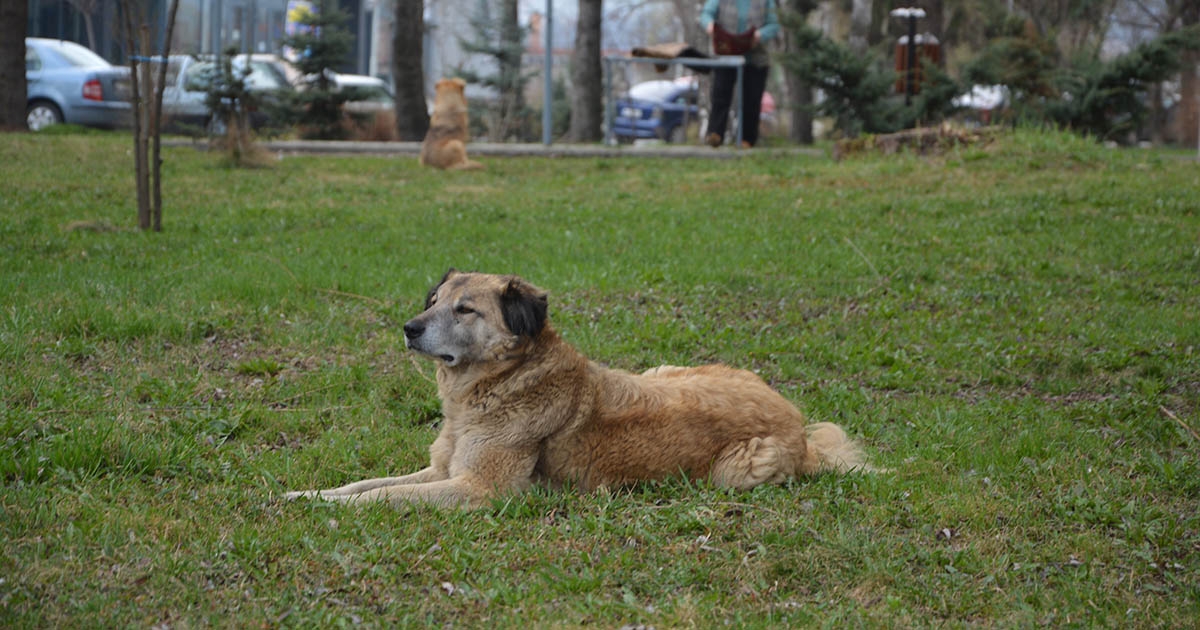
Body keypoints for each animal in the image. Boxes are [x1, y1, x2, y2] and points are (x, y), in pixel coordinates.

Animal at [285, 268, 878, 506]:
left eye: (465, 309)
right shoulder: (441, 470)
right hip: (664, 371)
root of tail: (796, 420)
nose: (409, 328)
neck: (497, 384)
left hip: (737, 471)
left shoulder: (477, 488)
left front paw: (334, 509)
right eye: (433, 302)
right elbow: (366, 483)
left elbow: (385, 496)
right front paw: (307, 495)